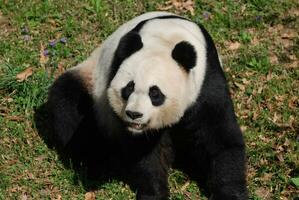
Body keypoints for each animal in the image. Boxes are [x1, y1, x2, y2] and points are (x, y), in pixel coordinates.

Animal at [47, 11, 248, 200]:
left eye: (155, 93)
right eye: (129, 88)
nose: (134, 114)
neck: (166, 39)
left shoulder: (206, 82)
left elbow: (220, 139)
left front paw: (230, 194)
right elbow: (145, 152)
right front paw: (154, 193)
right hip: (92, 86)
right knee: (68, 104)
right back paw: (98, 163)